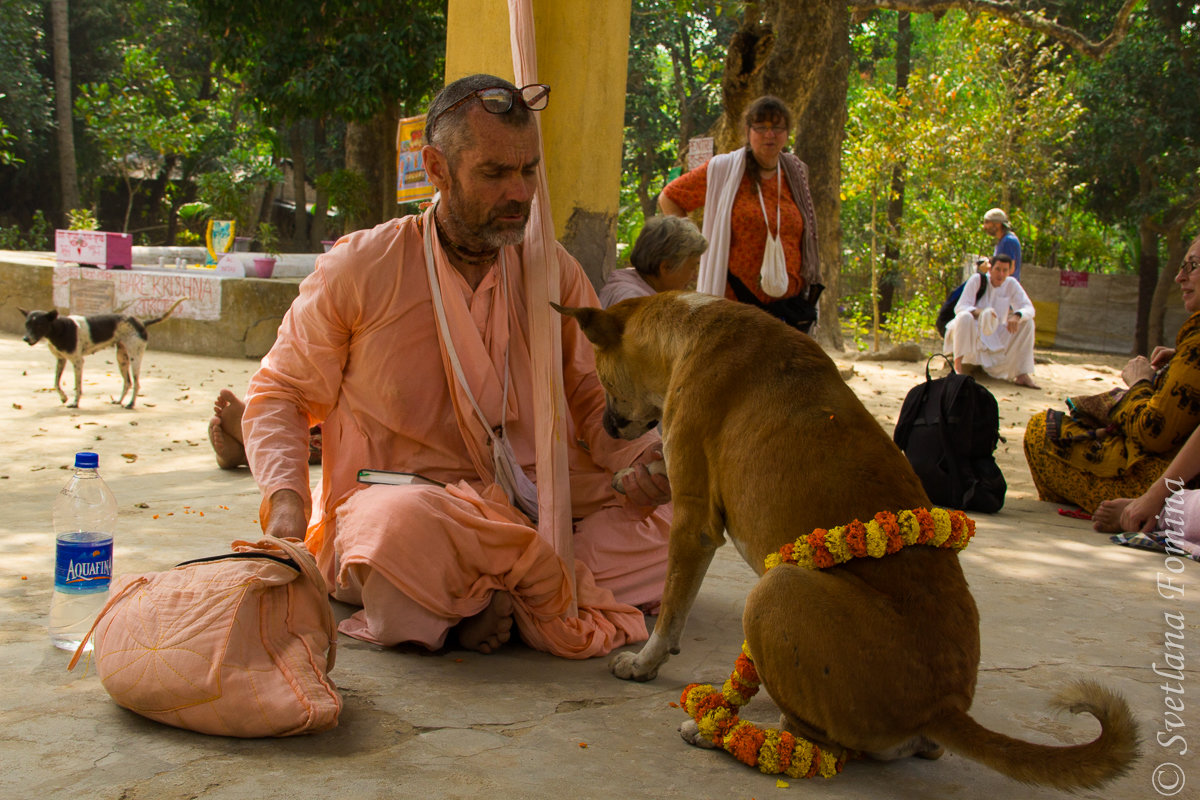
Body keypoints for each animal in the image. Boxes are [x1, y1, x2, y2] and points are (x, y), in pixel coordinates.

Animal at [21, 299, 184, 412]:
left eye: (39, 325)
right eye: (27, 324)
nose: (25, 339)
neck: (60, 328)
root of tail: (142, 322)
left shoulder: (78, 362)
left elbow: (77, 386)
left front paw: (75, 403)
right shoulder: (61, 360)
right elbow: (55, 382)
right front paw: (63, 397)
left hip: (134, 357)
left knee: (136, 383)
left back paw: (131, 404)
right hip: (121, 358)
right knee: (128, 382)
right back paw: (119, 401)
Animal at [556, 292, 1137, 786]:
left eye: (601, 376)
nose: (604, 428)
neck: (686, 330)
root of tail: (941, 706)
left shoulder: (694, 522)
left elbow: (673, 606)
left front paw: (644, 662)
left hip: (776, 590)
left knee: (819, 743)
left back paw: (716, 732)